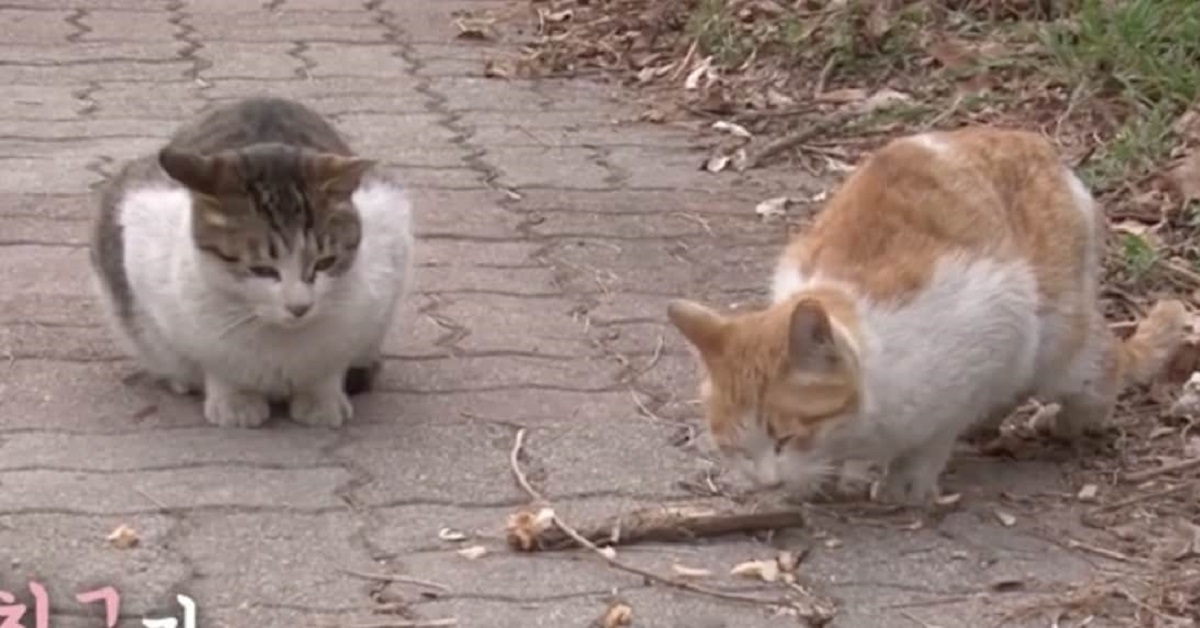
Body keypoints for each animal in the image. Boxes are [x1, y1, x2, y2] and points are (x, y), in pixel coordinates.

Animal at [91, 96, 415, 429]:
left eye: (325, 263)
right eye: (261, 269)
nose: (299, 307)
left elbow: (329, 368)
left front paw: (321, 400)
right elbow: (217, 365)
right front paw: (235, 402)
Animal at [672, 127, 1185, 506]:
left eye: (784, 437)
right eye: (735, 449)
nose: (768, 482)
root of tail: (1037, 146)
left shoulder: (990, 330)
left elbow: (936, 433)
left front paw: (906, 481)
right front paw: (837, 476)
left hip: (1056, 338)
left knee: (1096, 367)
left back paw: (1073, 419)